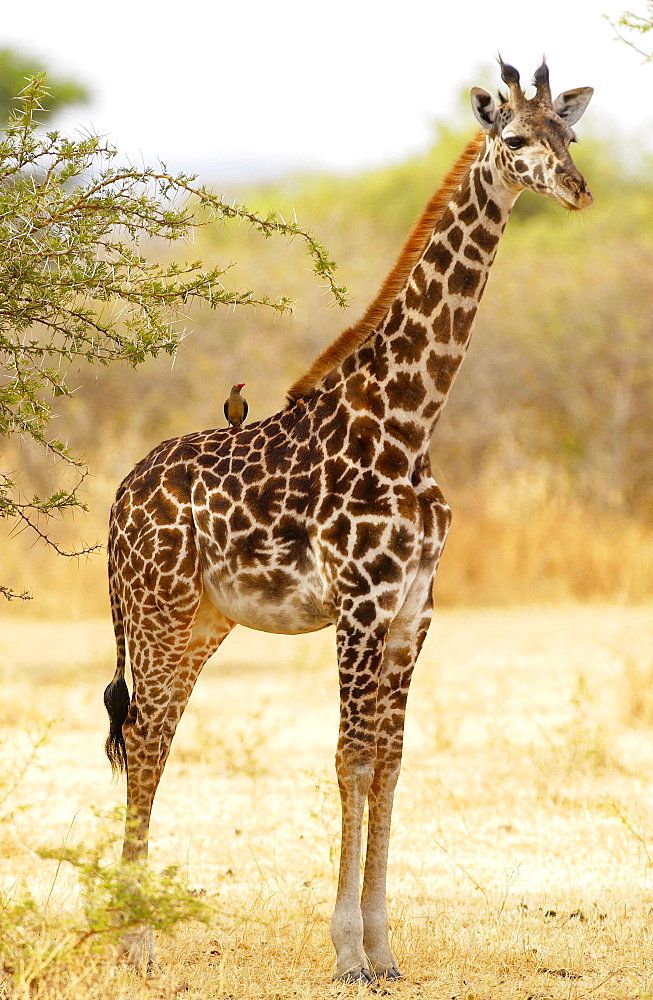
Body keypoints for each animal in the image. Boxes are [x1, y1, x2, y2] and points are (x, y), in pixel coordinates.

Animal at [104, 58, 592, 980]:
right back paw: (135, 943)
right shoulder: (360, 604)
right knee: (144, 744)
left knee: (151, 742)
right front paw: (346, 954)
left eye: (569, 134)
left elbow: (391, 764)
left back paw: (130, 930)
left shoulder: (413, 610)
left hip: (200, 623)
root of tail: (118, 497)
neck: (407, 422)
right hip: (154, 613)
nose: (578, 189)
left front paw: (384, 949)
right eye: (515, 138)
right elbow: (350, 760)